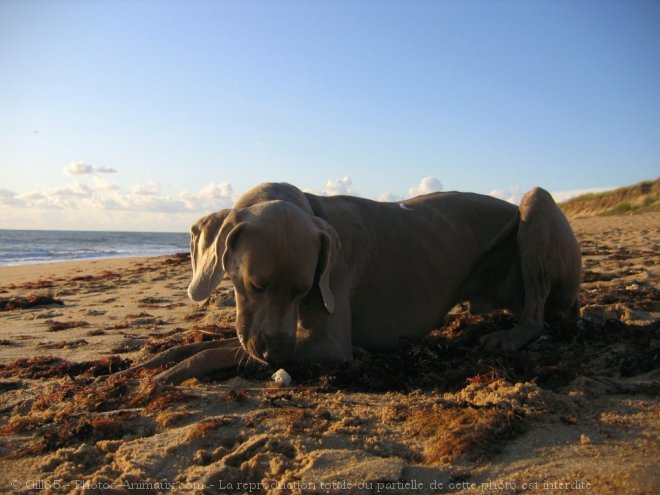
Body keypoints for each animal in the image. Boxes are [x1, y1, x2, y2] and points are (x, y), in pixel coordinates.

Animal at [131, 184, 580, 386]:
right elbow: (204, 345)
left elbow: (215, 352)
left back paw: (510, 337)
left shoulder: (327, 345)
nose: (277, 354)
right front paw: (152, 362)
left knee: (536, 315)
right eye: (255, 285)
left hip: (536, 203)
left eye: (304, 289)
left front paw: (165, 375)